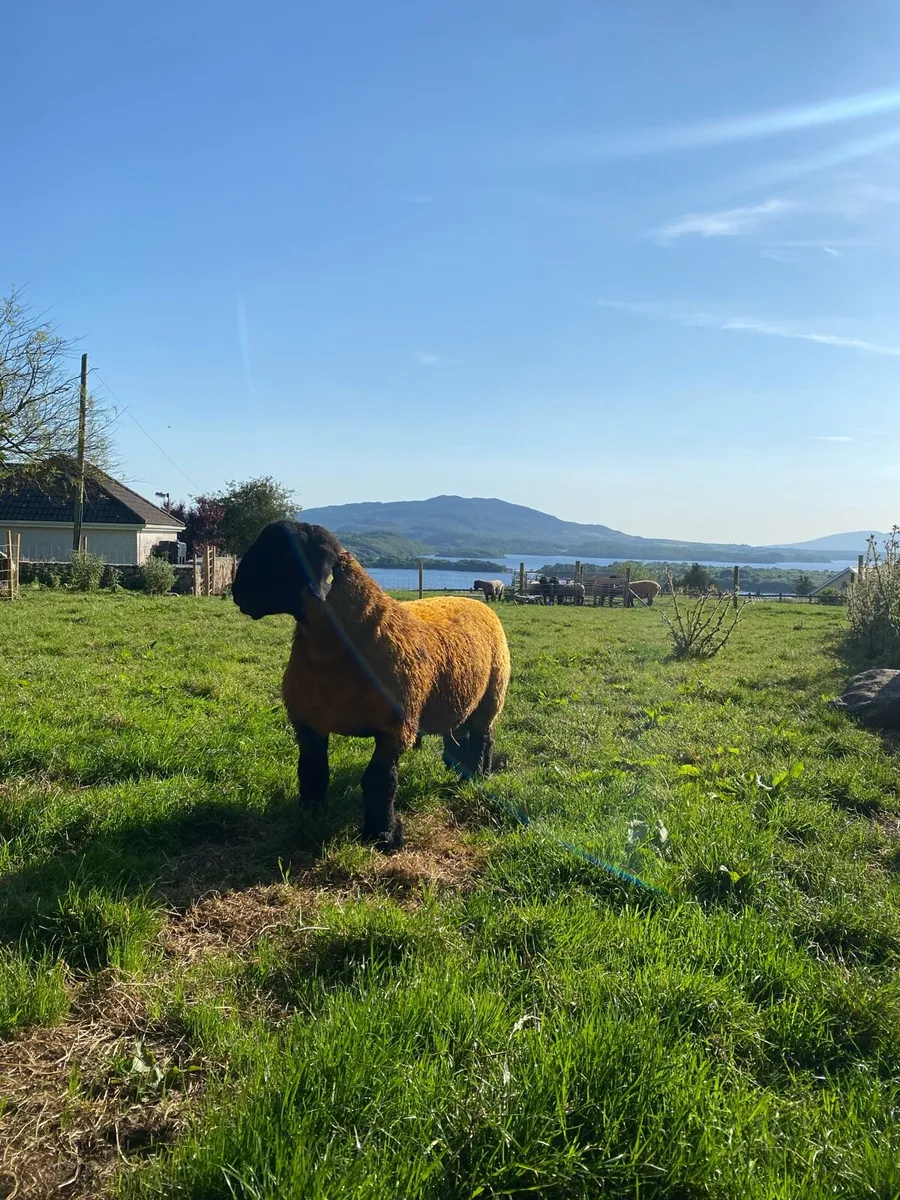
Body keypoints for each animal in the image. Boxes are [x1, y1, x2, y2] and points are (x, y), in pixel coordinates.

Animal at [232, 521, 511, 850]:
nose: (236, 592)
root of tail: (474, 601)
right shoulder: (308, 722)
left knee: (483, 738)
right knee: (458, 732)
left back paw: (478, 775)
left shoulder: (395, 728)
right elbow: (312, 772)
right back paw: (459, 766)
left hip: (491, 695)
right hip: (456, 695)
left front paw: (383, 834)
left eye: (284, 555)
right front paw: (310, 815)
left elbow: (378, 780)